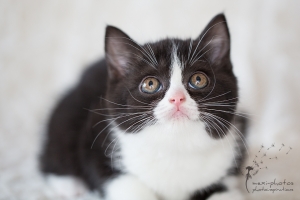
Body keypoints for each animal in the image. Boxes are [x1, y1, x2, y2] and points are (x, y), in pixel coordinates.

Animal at [41, 13, 248, 200]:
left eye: (198, 79)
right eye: (150, 84)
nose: (177, 98)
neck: (174, 147)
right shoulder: (97, 142)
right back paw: (69, 184)